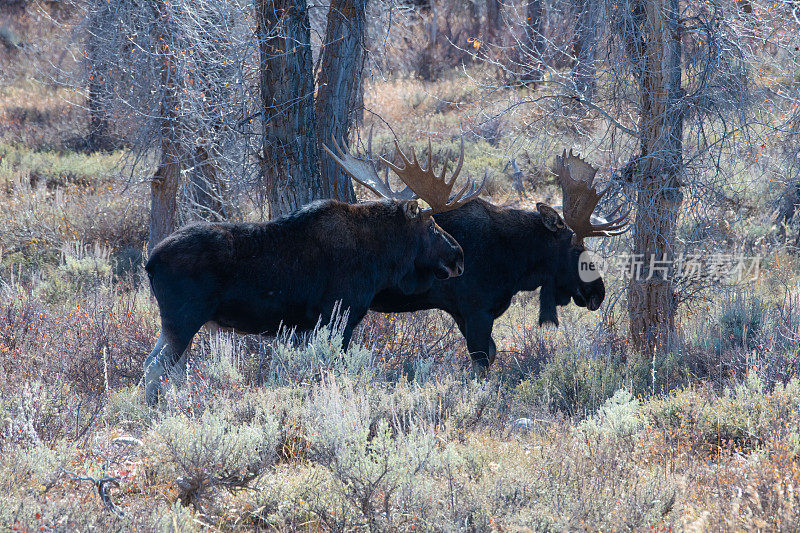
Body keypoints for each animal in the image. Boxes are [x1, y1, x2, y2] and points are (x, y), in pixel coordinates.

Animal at [143, 145, 482, 404]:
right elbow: (333, 367)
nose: (459, 257)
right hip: (184, 318)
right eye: (431, 227)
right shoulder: (339, 314)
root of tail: (150, 263)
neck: (380, 259)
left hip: (175, 322)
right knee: (155, 367)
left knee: (154, 363)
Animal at [328, 143, 628, 372]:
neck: (518, 265)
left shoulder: (460, 311)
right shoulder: (477, 309)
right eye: (577, 250)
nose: (598, 292)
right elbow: (482, 361)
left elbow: (489, 355)